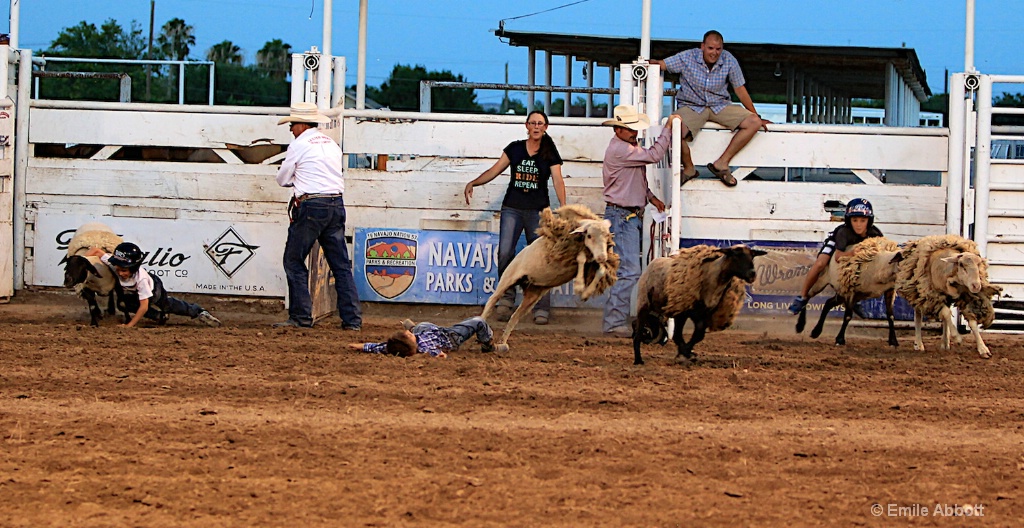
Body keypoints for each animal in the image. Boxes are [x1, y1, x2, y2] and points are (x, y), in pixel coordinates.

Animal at [481, 204, 618, 352]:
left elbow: (601, 270)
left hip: (533, 294)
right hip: (508, 278)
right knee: (491, 302)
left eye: (607, 236)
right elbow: (581, 259)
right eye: (589, 235)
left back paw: (502, 343)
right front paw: (579, 285)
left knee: (514, 317)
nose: (602, 257)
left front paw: (586, 293)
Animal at [630, 245, 770, 364]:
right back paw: (638, 360)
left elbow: (699, 335)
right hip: (644, 303)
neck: (714, 278)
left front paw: (686, 352)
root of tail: (654, 261)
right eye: (736, 255)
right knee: (639, 332)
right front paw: (686, 353)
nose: (752, 273)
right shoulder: (688, 312)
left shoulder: (702, 313)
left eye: (752, 256)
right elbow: (687, 335)